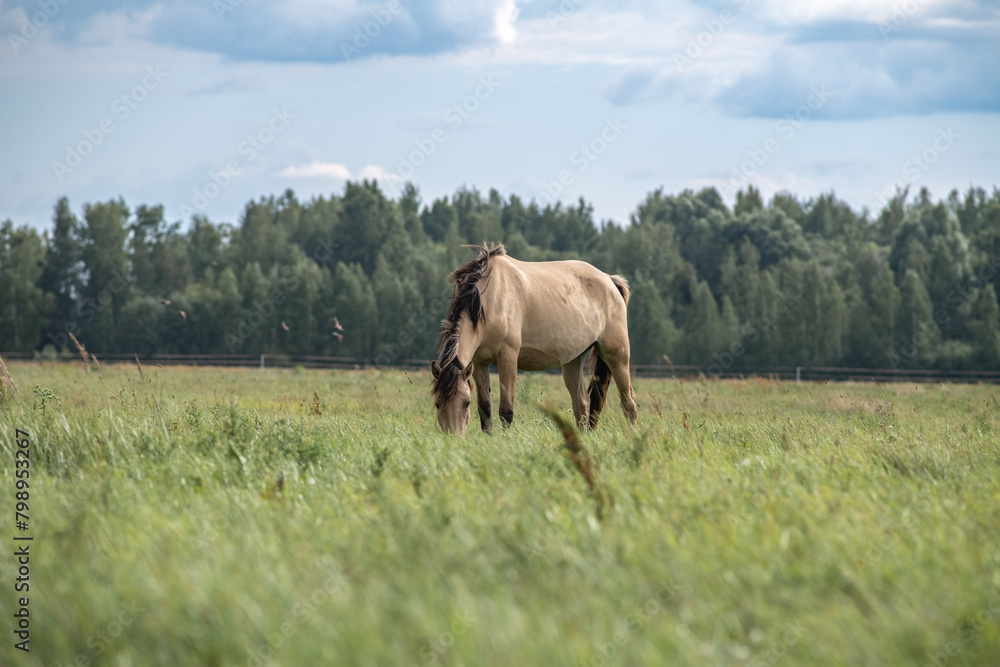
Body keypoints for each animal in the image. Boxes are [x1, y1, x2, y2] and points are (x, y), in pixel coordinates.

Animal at [430, 243, 637, 434]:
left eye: (466, 403)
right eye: (438, 403)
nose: (453, 436)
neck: (490, 300)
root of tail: (610, 280)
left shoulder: (508, 358)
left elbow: (506, 411)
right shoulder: (479, 363)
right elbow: (485, 409)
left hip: (616, 356)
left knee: (628, 401)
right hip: (573, 360)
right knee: (582, 404)